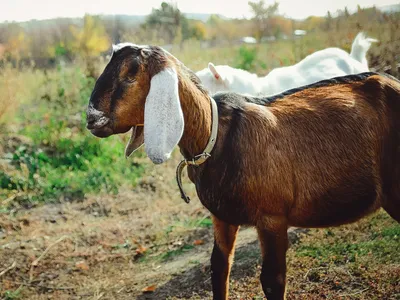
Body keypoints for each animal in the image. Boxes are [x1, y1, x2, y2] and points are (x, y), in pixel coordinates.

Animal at [85, 43, 400, 298]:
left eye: (131, 73)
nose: (92, 118)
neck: (216, 135)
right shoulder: (222, 217)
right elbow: (219, 269)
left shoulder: (272, 219)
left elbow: (272, 281)